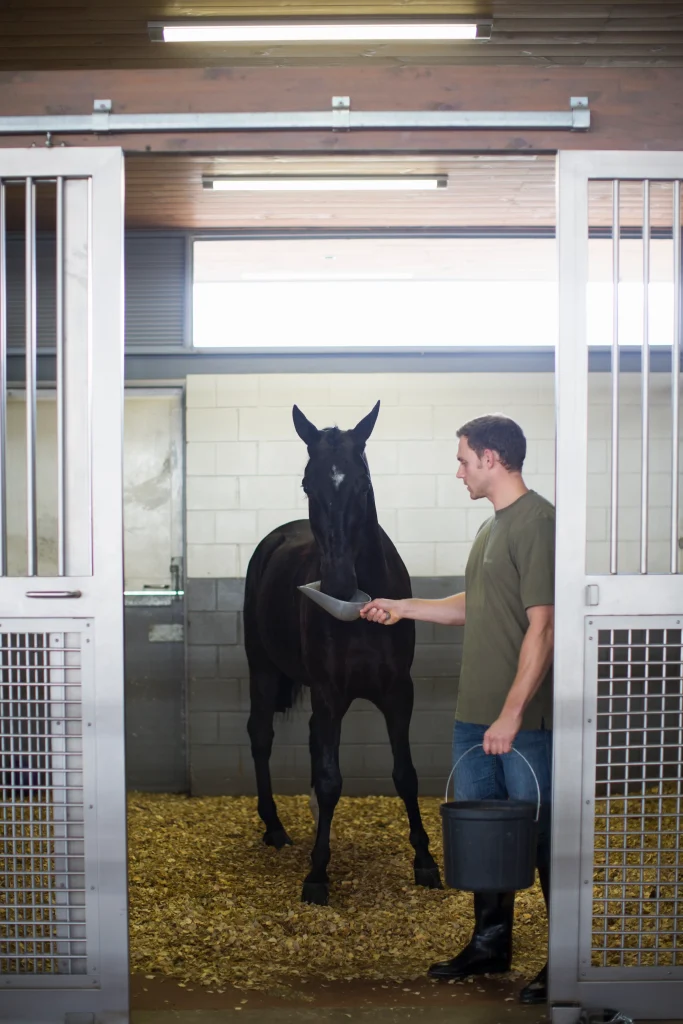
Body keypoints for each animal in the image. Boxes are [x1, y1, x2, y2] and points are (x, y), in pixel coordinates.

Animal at [242, 399, 440, 905]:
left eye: (363, 483)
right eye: (308, 483)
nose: (336, 585)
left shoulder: (398, 693)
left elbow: (405, 774)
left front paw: (425, 860)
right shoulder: (331, 692)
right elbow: (332, 780)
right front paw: (317, 874)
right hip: (263, 669)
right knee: (261, 736)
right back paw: (274, 827)